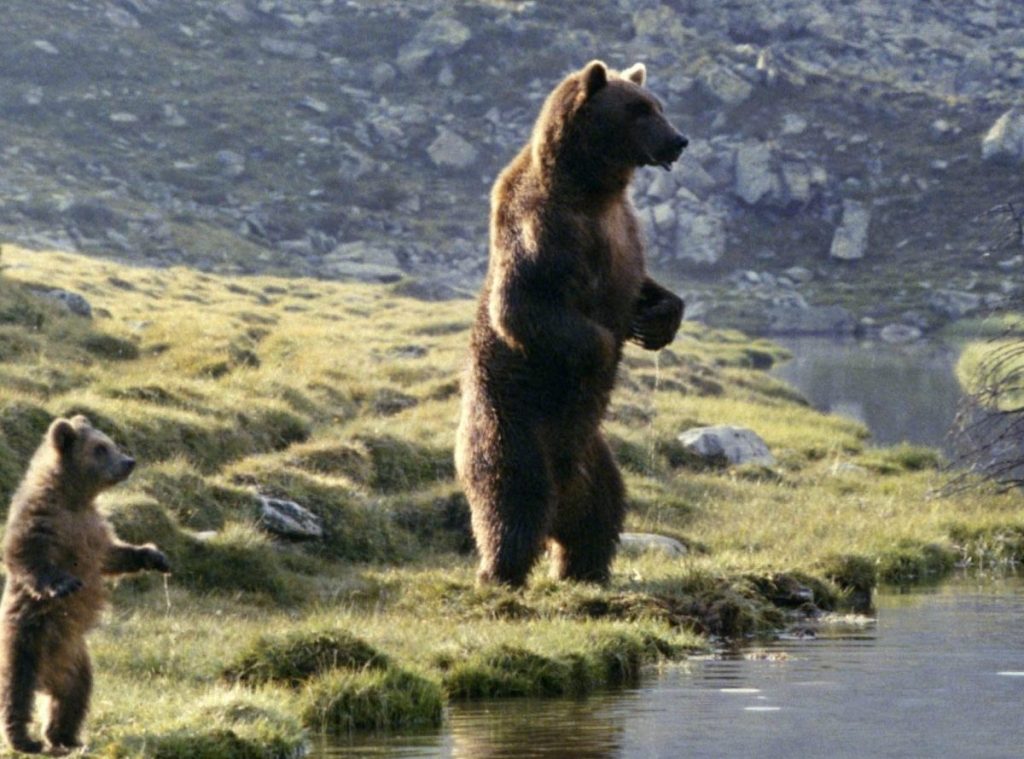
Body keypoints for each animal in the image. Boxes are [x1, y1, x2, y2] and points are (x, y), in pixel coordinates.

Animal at [0, 415, 170, 754]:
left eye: (110, 443)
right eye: (100, 448)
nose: (129, 461)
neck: (74, 498)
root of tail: (48, 677)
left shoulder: (94, 531)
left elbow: (112, 555)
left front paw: (154, 555)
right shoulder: (41, 519)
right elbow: (25, 554)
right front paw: (63, 585)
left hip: (76, 658)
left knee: (73, 696)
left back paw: (66, 736)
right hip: (26, 638)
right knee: (17, 687)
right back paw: (25, 740)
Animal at [455, 60, 687, 587]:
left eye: (658, 105)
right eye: (638, 110)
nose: (678, 140)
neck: (593, 188)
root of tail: (561, 502)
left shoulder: (624, 230)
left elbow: (642, 284)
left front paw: (658, 320)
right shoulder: (546, 228)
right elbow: (522, 306)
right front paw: (604, 349)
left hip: (595, 457)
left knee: (603, 511)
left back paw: (586, 568)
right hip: (513, 429)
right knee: (512, 505)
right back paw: (500, 573)